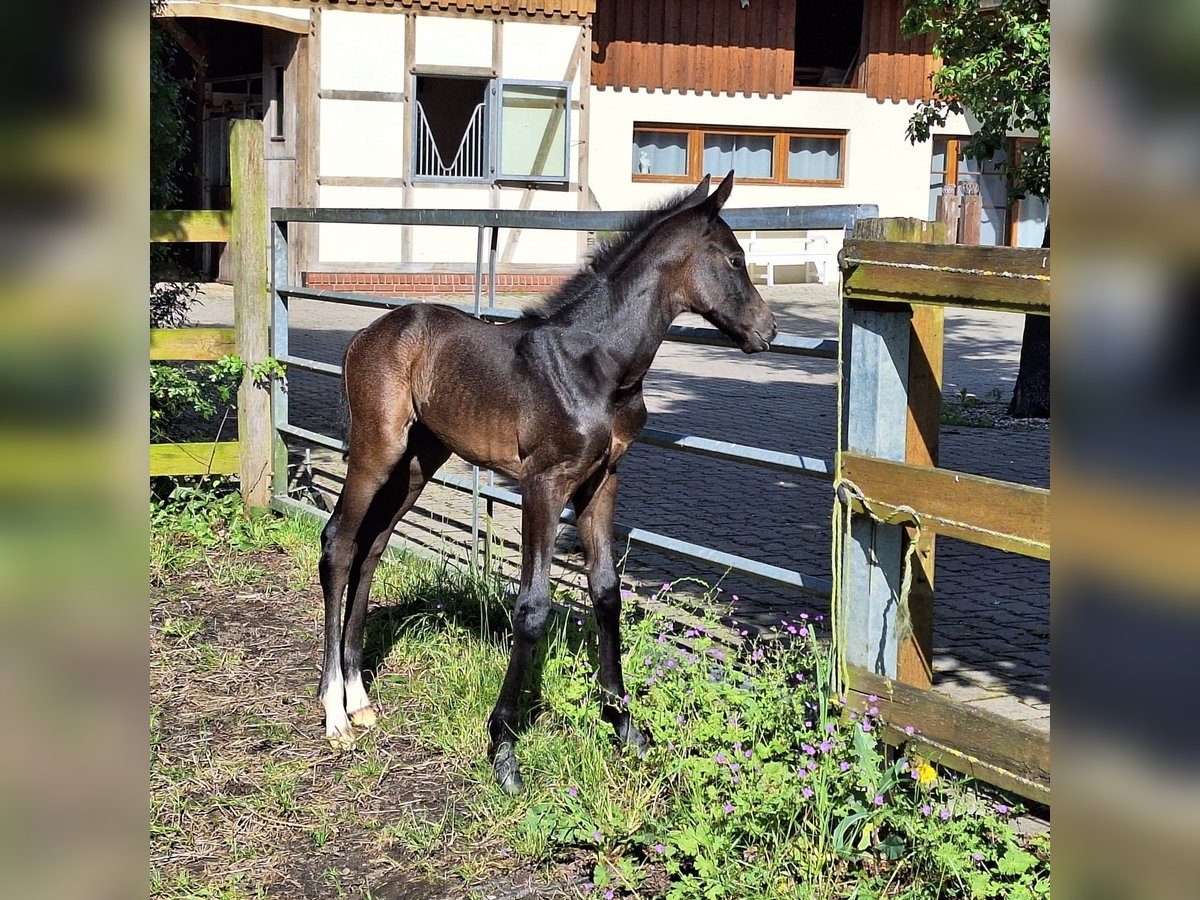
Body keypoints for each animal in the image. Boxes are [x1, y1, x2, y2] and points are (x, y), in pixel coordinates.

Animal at [316, 172, 777, 792]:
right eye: (735, 258)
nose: (767, 330)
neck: (597, 365)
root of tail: (366, 333)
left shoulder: (601, 481)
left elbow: (606, 591)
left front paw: (625, 727)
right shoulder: (542, 484)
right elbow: (533, 605)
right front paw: (504, 749)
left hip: (416, 463)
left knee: (372, 548)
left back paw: (361, 697)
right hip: (377, 450)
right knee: (339, 543)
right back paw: (335, 712)